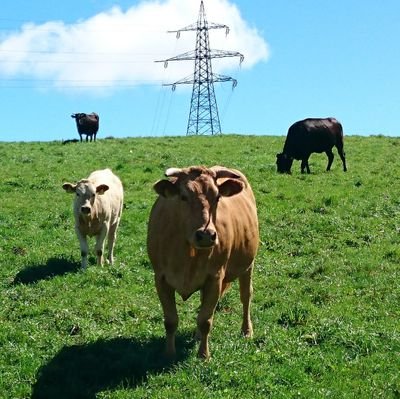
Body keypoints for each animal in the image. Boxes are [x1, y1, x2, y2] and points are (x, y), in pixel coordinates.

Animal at [147, 166, 260, 360]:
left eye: (217, 197)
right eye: (183, 196)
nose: (206, 235)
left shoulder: (215, 278)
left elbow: (205, 320)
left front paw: (204, 354)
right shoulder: (160, 278)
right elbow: (170, 320)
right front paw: (169, 353)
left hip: (247, 265)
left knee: (246, 296)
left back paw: (246, 330)